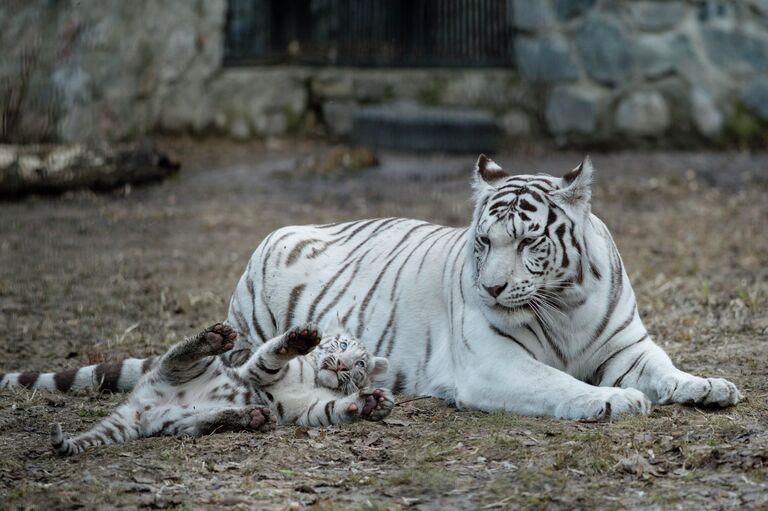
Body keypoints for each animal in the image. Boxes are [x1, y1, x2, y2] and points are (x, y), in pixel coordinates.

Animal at [225, 156, 740, 420]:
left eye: (528, 240)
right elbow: (557, 381)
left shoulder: (628, 348)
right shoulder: (493, 361)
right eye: (485, 241)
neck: (567, 303)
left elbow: (665, 369)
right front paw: (613, 400)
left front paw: (708, 385)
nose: (491, 288)